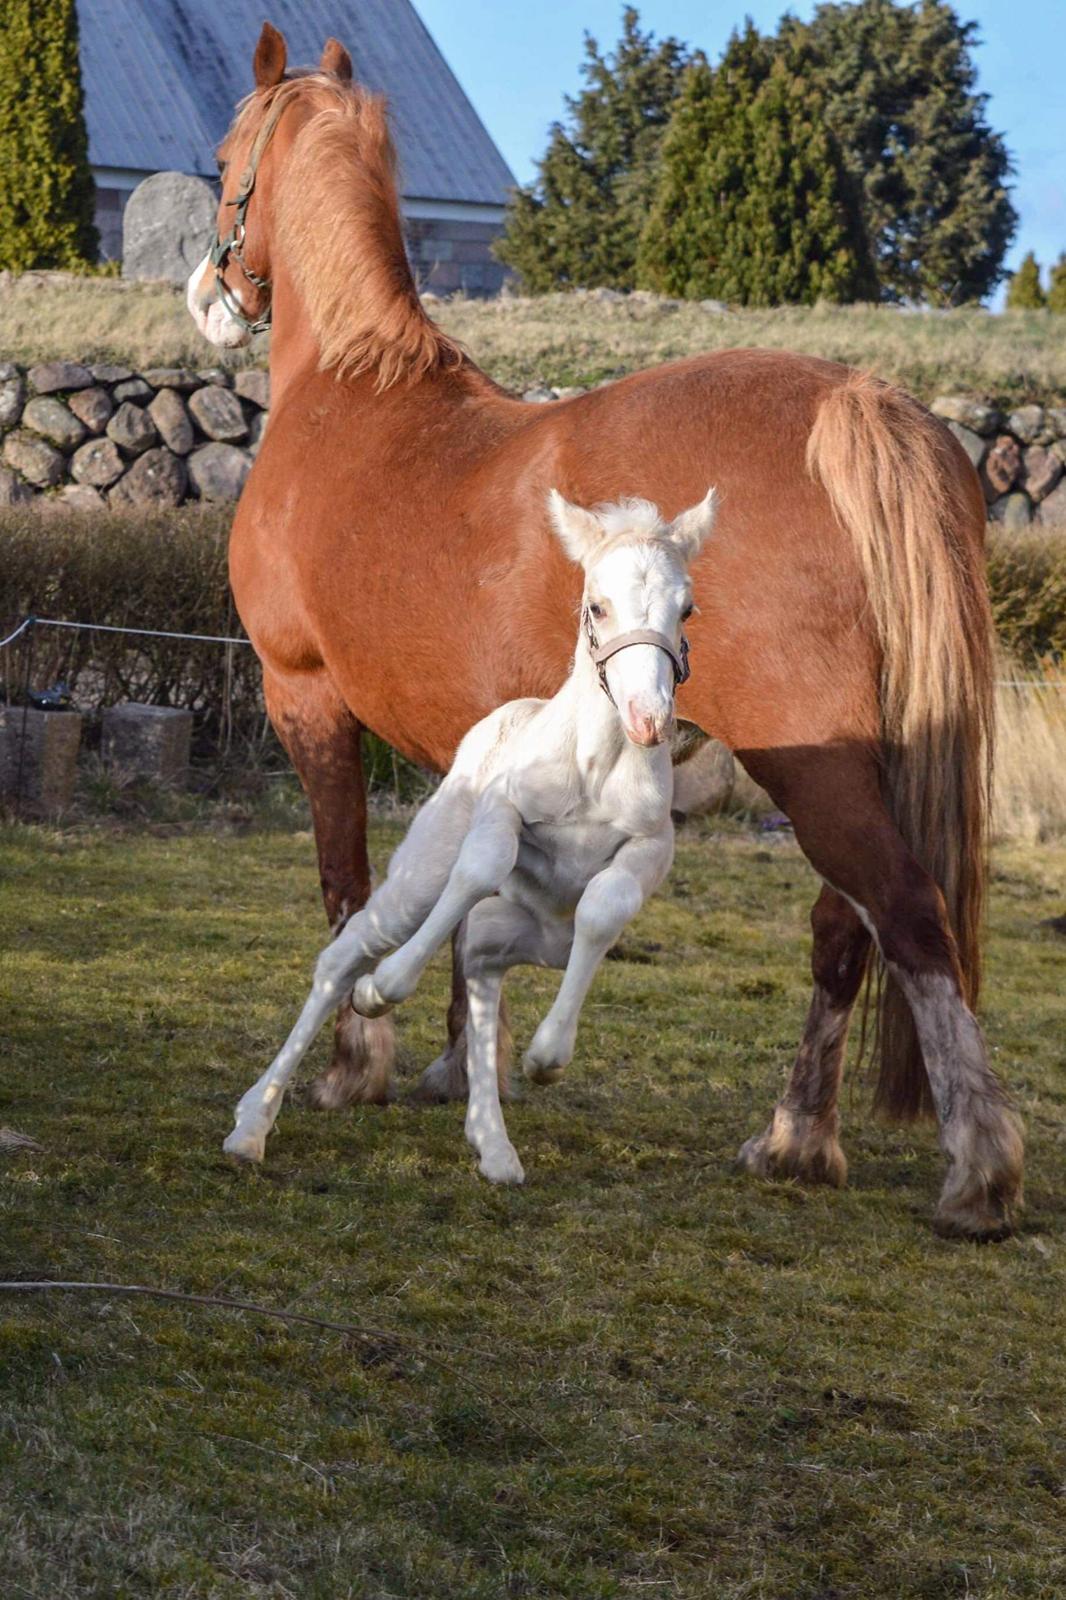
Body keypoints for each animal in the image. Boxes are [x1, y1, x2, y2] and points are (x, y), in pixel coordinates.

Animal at [228, 486, 717, 1177]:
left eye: (687, 607)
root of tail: (501, 715)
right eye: (598, 604)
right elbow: (482, 866)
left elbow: (602, 909)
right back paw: (253, 1122)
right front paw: (383, 988)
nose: (649, 721)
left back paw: (493, 1144)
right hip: (417, 880)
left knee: (483, 974)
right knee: (347, 955)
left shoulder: (651, 848)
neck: (594, 766)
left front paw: (547, 1056)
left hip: (516, 935)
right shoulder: (501, 810)